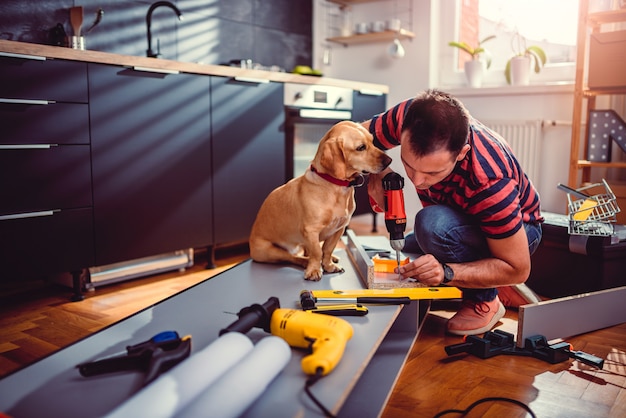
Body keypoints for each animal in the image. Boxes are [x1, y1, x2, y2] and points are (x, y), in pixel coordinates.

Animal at [249, 121, 390, 280]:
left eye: (372, 141)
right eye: (361, 147)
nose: (389, 161)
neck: (336, 186)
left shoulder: (339, 230)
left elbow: (327, 249)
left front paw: (328, 265)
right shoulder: (311, 230)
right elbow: (317, 252)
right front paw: (314, 269)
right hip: (269, 251)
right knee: (293, 257)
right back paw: (305, 262)